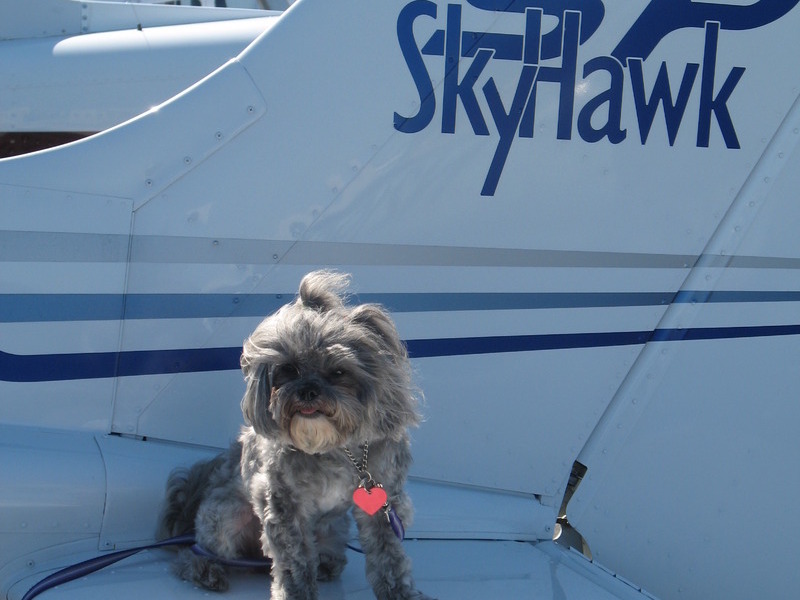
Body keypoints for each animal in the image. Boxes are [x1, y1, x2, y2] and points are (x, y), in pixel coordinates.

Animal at [157, 272, 432, 600]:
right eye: (288, 369)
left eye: (338, 371)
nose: (307, 391)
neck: (336, 447)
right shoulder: (284, 505)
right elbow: (293, 562)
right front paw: (297, 593)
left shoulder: (383, 500)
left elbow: (389, 557)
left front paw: (400, 593)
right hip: (224, 516)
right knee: (193, 552)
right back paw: (207, 570)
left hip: (332, 525)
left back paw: (326, 562)